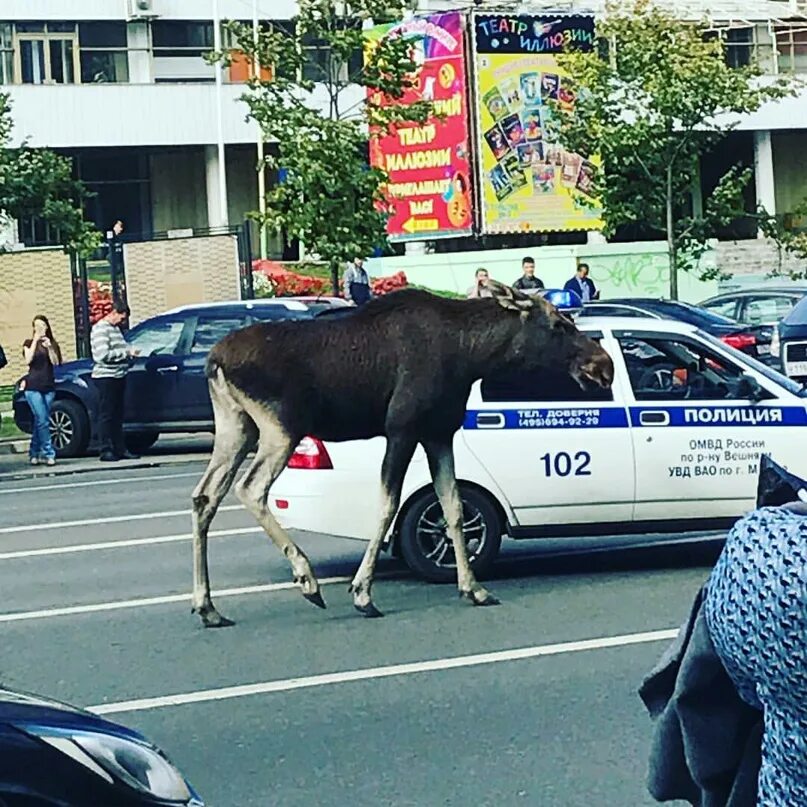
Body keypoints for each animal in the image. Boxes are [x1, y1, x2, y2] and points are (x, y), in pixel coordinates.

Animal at [193, 280, 616, 628]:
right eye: (559, 324)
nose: (604, 365)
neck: (471, 355)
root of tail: (214, 361)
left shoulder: (439, 433)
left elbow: (453, 507)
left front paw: (474, 588)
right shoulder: (402, 428)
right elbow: (388, 505)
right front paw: (363, 593)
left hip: (236, 427)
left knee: (205, 495)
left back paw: (208, 606)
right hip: (280, 429)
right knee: (250, 489)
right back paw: (307, 580)